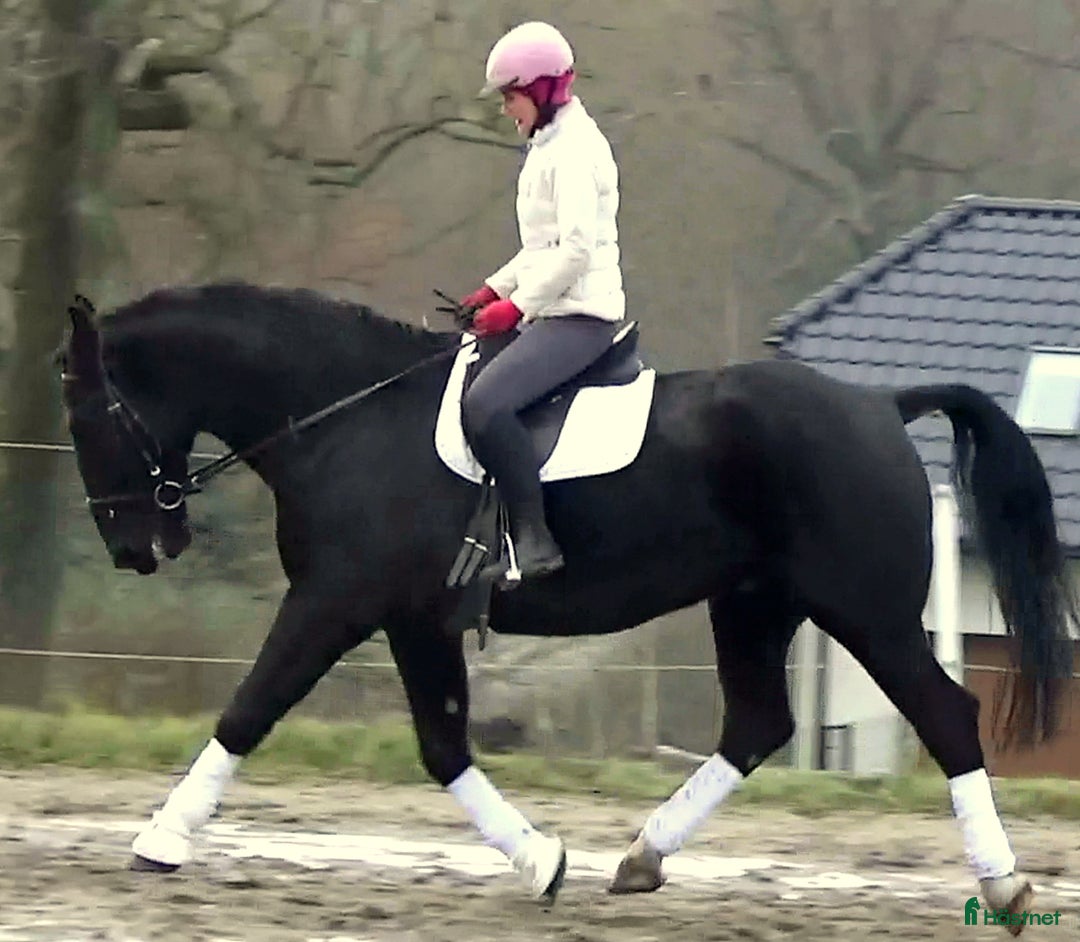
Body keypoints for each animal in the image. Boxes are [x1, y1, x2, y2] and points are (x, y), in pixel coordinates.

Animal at [58, 282, 1075, 933]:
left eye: (88, 417)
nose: (135, 549)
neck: (346, 423)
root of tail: (880, 404)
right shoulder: (415, 620)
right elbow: (444, 748)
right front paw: (542, 862)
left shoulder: (334, 603)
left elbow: (249, 709)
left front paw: (159, 839)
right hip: (755, 605)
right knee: (756, 724)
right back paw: (642, 858)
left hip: (865, 612)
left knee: (946, 715)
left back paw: (1008, 887)